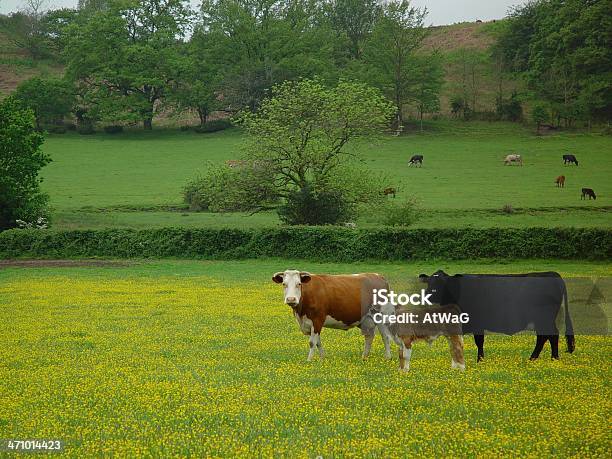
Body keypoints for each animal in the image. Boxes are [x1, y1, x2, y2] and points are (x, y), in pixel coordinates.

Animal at [416, 270, 572, 362]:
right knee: (544, 337)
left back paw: (552, 358)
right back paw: (535, 358)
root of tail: (554, 274)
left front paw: (480, 360)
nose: (428, 294)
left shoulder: (477, 323)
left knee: (551, 335)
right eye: (429, 282)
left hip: (544, 318)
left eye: (443, 282)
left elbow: (479, 341)